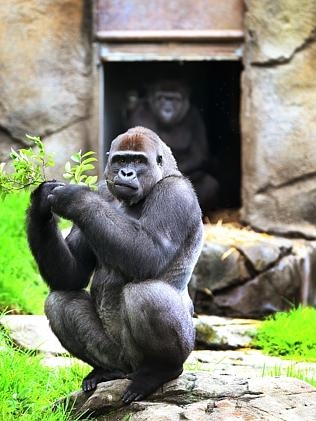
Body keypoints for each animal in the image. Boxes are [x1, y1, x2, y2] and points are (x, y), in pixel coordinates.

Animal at [27, 125, 205, 404]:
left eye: (139, 161)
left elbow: (150, 253)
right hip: (119, 357)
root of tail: (130, 369)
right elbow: (72, 275)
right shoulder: (104, 190)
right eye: (121, 160)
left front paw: (75, 198)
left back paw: (160, 370)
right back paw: (105, 371)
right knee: (60, 301)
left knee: (145, 293)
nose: (126, 173)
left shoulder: (175, 193)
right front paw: (42, 201)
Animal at [127, 79, 218, 212]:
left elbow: (198, 155)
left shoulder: (194, 115)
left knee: (210, 186)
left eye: (174, 100)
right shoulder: (141, 112)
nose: (167, 110)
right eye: (162, 98)